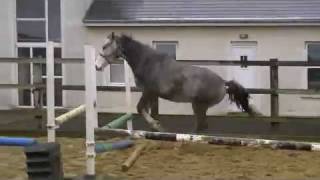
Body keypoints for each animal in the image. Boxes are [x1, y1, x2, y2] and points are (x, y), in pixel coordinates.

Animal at [94, 32, 255, 132]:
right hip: (200, 107)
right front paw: (156, 127)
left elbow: (140, 108)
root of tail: (223, 83)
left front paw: (157, 126)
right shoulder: (152, 94)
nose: (96, 66)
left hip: (198, 105)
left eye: (104, 46)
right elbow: (149, 110)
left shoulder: (149, 91)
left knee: (201, 126)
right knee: (202, 125)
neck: (148, 62)